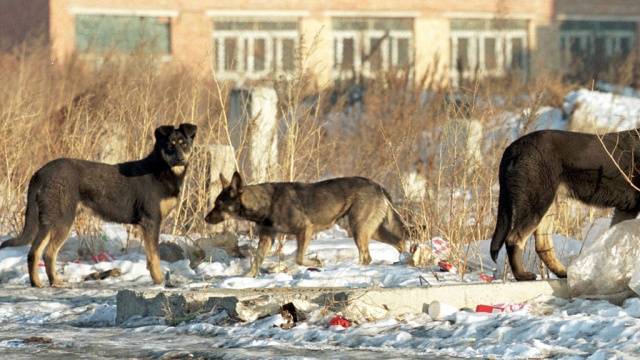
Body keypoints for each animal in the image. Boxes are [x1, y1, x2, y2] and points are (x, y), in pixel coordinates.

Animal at [0, 124, 196, 286]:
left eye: (184, 144)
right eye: (170, 145)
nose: (180, 158)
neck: (161, 169)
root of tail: (39, 172)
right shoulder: (151, 221)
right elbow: (154, 256)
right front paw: (159, 280)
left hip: (48, 221)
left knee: (34, 253)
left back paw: (37, 283)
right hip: (63, 221)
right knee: (48, 253)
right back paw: (55, 281)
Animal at [205, 172, 410, 276]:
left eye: (219, 204)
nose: (205, 219)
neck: (265, 203)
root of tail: (378, 186)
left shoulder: (305, 229)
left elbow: (299, 258)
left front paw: (317, 262)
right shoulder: (267, 238)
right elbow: (256, 260)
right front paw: (247, 278)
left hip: (358, 229)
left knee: (367, 256)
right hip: (371, 230)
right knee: (399, 242)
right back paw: (405, 261)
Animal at [492, 129, 640, 282]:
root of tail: (513, 148)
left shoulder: (626, 210)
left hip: (549, 206)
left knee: (542, 245)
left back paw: (561, 271)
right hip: (537, 204)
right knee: (514, 238)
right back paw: (522, 275)